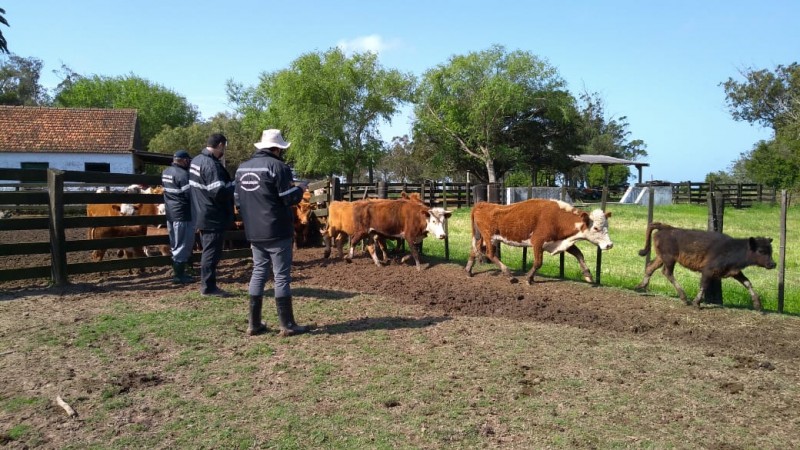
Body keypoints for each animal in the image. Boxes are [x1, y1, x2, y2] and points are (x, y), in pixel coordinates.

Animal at [462, 200, 612, 284]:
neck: (556, 218)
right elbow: (538, 262)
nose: (609, 245)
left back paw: (468, 270)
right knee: (490, 254)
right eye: (596, 228)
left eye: (607, 226)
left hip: (482, 237)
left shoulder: (561, 241)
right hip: (489, 237)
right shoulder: (538, 242)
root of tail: (481, 204)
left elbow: (579, 254)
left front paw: (588, 275)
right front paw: (529, 278)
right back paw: (509, 275)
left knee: (475, 249)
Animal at [636, 222, 780, 312]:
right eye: (761, 251)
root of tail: (665, 227)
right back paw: (684, 298)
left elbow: (748, 283)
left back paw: (640, 286)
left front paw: (758, 305)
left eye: (770, 250)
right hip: (669, 259)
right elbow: (704, 285)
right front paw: (696, 303)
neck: (732, 248)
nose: (773, 264)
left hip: (662, 258)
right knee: (667, 272)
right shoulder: (708, 271)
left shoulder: (735, 272)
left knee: (650, 267)